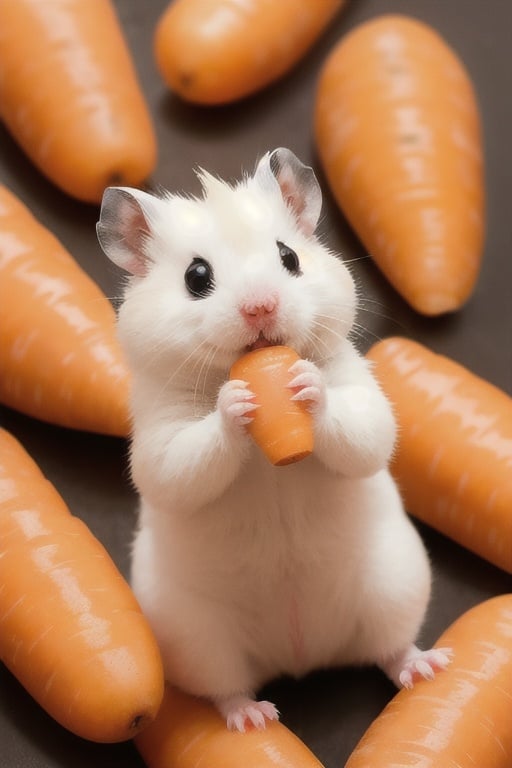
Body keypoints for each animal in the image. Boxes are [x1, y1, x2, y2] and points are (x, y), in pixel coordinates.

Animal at [96, 148, 448, 732]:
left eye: (289, 257)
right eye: (196, 276)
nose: (260, 307)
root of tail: (301, 657)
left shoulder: (361, 393)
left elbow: (366, 430)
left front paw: (303, 383)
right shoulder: (160, 437)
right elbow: (182, 463)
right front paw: (237, 402)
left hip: (394, 583)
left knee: (391, 650)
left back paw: (428, 668)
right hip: (195, 633)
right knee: (226, 688)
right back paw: (253, 719)